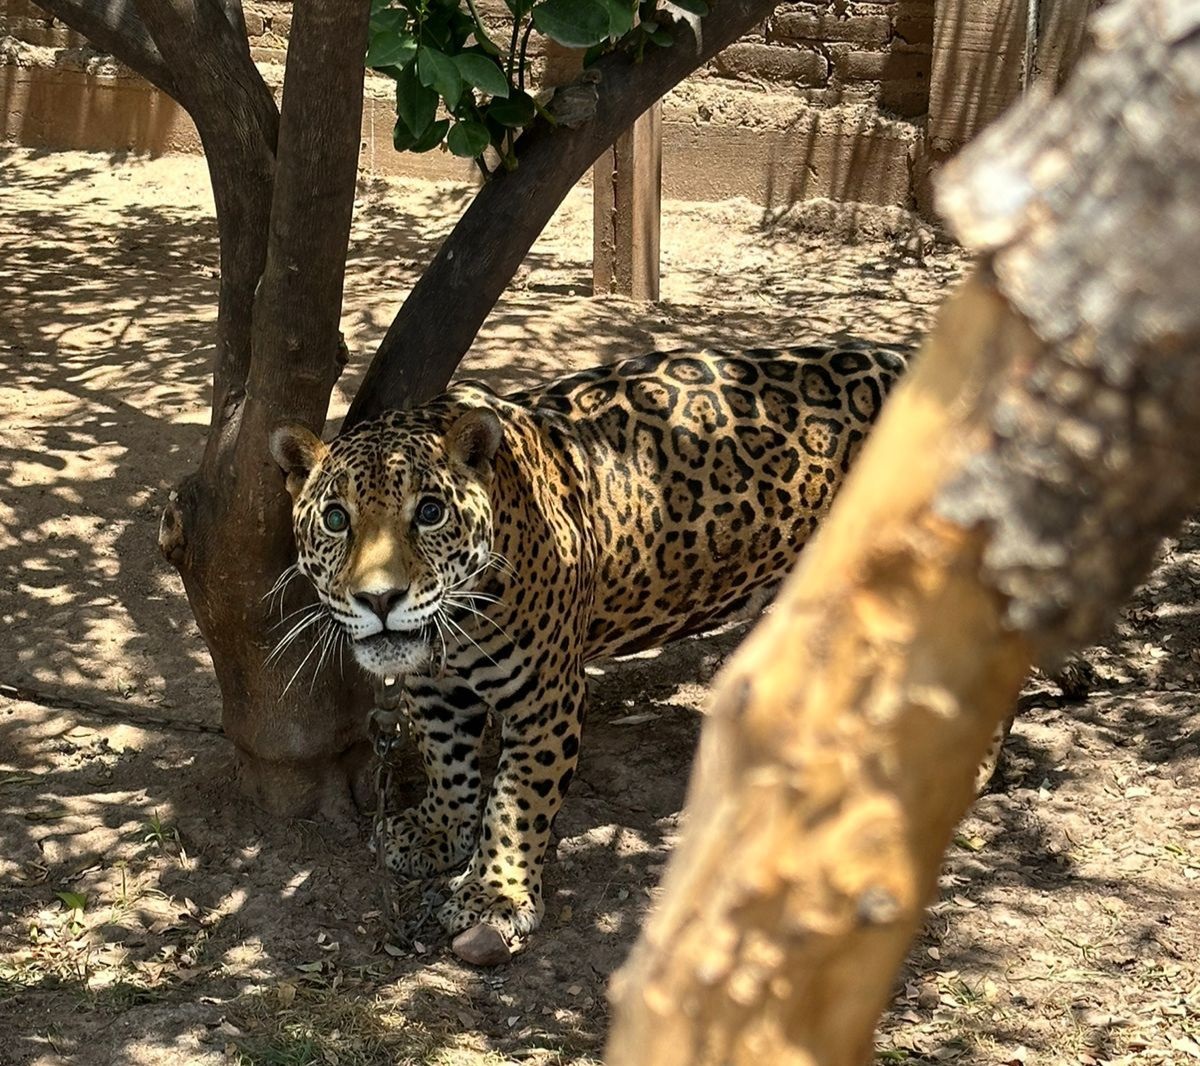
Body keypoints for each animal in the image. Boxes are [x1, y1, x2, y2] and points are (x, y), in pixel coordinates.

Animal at [270, 341, 1012, 947]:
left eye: (429, 513)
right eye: (334, 519)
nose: (380, 600)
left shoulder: (544, 697)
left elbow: (515, 798)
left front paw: (495, 896)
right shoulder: (433, 687)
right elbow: (449, 764)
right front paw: (435, 830)